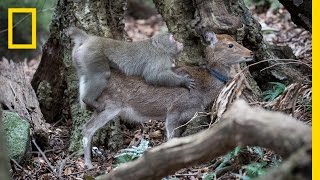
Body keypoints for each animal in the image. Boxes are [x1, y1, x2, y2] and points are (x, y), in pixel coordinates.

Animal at [66, 26, 194, 111]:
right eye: (173, 39)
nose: (180, 42)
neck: (160, 49)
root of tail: (88, 38)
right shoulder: (159, 58)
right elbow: (153, 76)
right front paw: (183, 81)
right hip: (92, 53)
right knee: (102, 75)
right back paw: (89, 100)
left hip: (80, 57)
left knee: (84, 76)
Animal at [81, 32, 254, 167]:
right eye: (230, 45)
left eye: (235, 40)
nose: (251, 53)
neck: (202, 91)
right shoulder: (174, 109)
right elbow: (170, 138)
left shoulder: (186, 115)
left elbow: (177, 138)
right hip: (109, 105)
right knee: (87, 128)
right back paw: (89, 165)